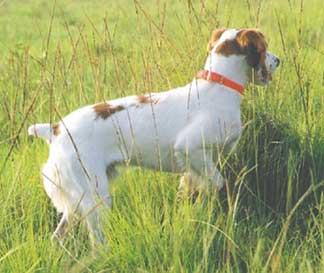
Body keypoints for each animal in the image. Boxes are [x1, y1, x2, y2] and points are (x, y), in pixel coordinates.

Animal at [27, 28, 280, 244]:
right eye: (265, 47)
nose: (278, 60)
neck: (218, 87)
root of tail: (55, 129)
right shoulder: (190, 147)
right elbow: (217, 183)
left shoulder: (199, 163)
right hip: (95, 196)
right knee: (96, 243)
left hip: (78, 200)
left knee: (58, 237)